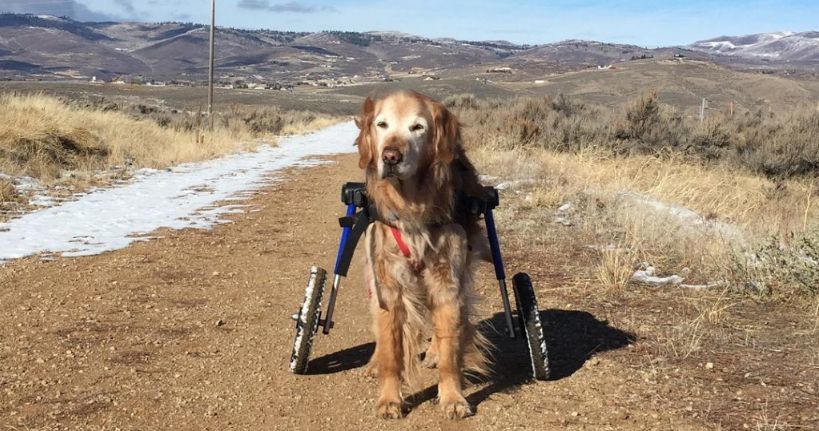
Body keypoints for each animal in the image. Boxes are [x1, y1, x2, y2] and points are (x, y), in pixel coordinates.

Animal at [356, 90, 490, 418]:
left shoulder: (447, 281)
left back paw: (433, 353)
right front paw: (389, 399)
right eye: (381, 124)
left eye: (418, 127)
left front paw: (453, 397)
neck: (412, 205)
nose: (390, 157)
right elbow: (391, 351)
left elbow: (450, 350)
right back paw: (374, 362)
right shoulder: (388, 285)